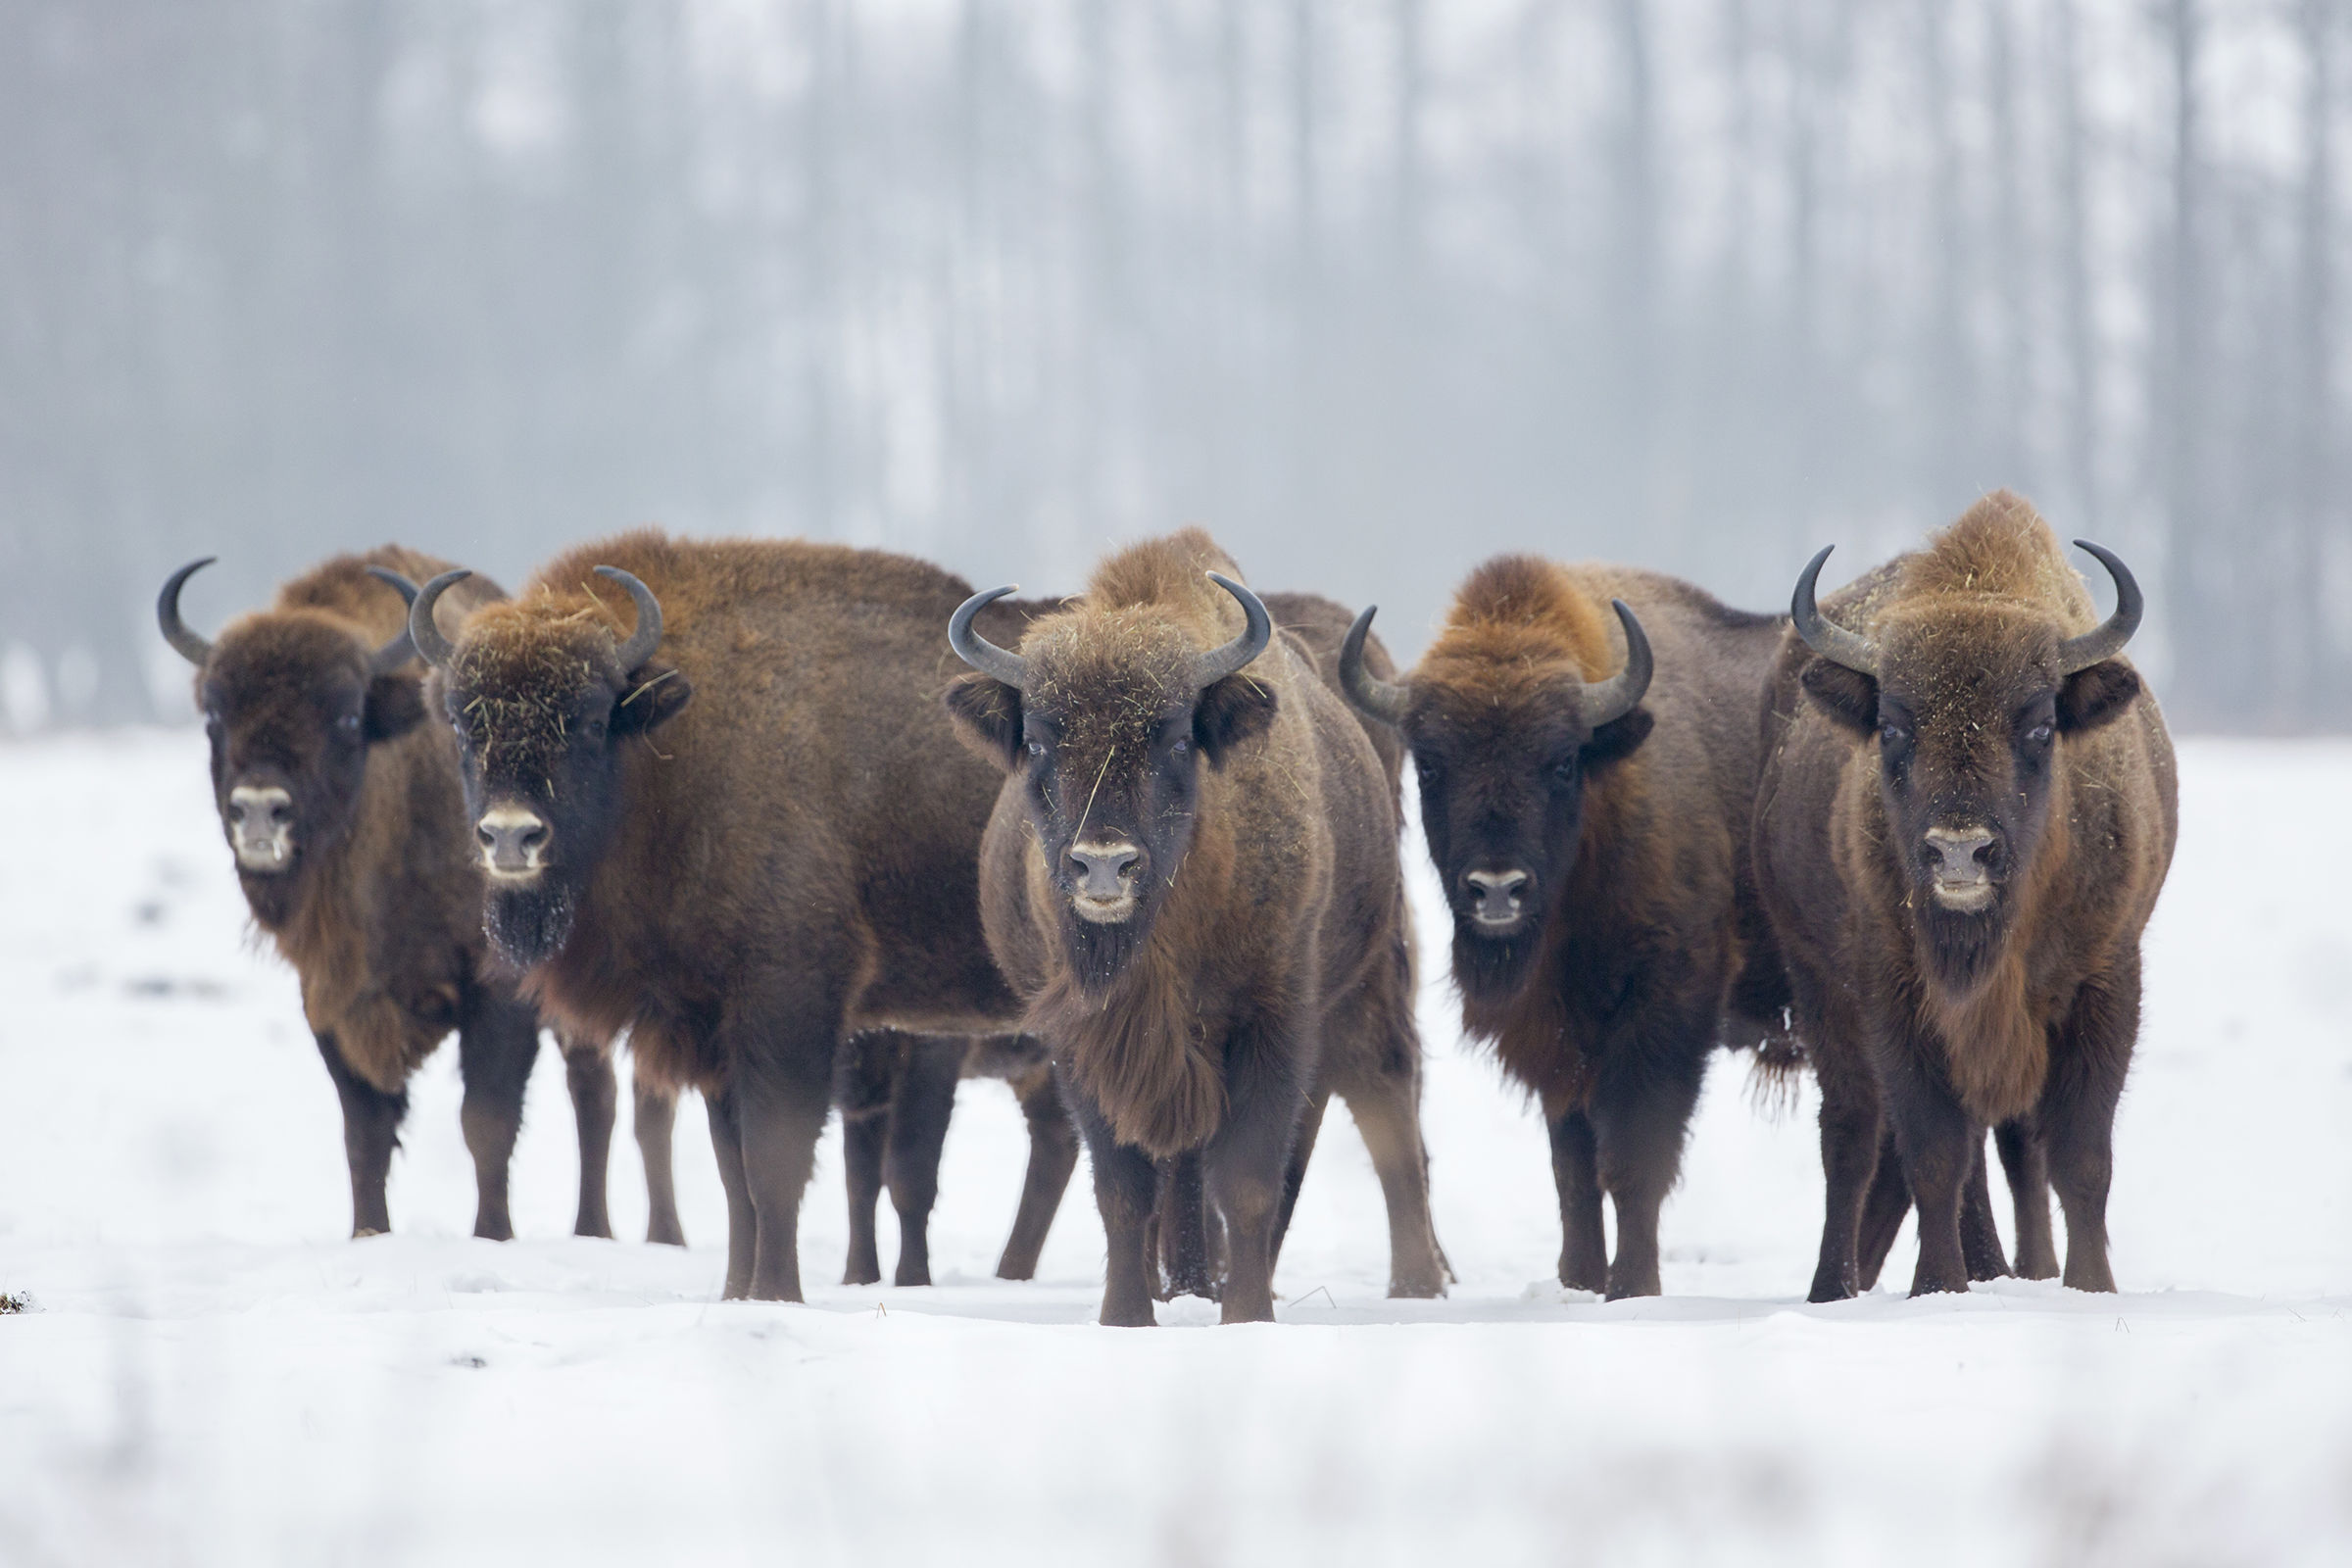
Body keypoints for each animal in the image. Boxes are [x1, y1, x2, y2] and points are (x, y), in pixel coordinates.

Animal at [158, 549, 621, 1240]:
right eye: (215, 717)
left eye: (347, 716)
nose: (261, 811)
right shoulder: (329, 1000)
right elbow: (366, 1133)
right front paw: (368, 1234)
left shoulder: (499, 991)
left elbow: (486, 1123)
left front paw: (493, 1236)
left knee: (593, 1092)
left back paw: (593, 1230)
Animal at [946, 531, 1444, 1325]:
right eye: (1042, 741)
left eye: (1175, 738)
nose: (1103, 865)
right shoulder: (1088, 1043)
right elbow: (1124, 1186)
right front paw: (1125, 1315)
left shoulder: (1273, 1022)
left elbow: (1248, 1180)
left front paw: (1247, 1315)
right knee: (1179, 1166)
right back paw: (1180, 1286)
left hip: (1366, 983)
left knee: (1384, 1093)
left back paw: (1412, 1286)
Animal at [1340, 558, 1788, 1298]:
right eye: (1430, 764)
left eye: (1561, 761)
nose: (1497, 888)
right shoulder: (1557, 1037)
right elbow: (1572, 1171)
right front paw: (1577, 1281)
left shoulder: (1664, 1013)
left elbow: (1632, 1160)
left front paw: (1632, 1287)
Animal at [1753, 491, 2176, 1298]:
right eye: (1892, 726)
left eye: (2040, 724)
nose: (1959, 851)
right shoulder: (1895, 995)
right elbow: (1934, 1152)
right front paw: (1938, 1288)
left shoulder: (2106, 980)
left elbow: (2080, 1156)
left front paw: (2089, 1287)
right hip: (1820, 985)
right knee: (1852, 1135)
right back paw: (1836, 1287)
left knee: (2013, 1149)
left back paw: (2021, 1270)